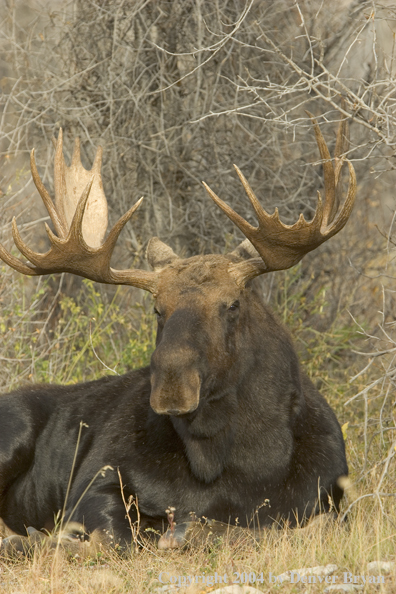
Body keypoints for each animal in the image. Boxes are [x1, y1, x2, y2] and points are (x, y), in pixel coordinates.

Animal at [0, 114, 354, 552]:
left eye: (233, 304)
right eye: (157, 309)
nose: (172, 384)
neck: (239, 463)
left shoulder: (330, 499)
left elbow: (265, 528)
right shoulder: (94, 481)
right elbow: (116, 536)